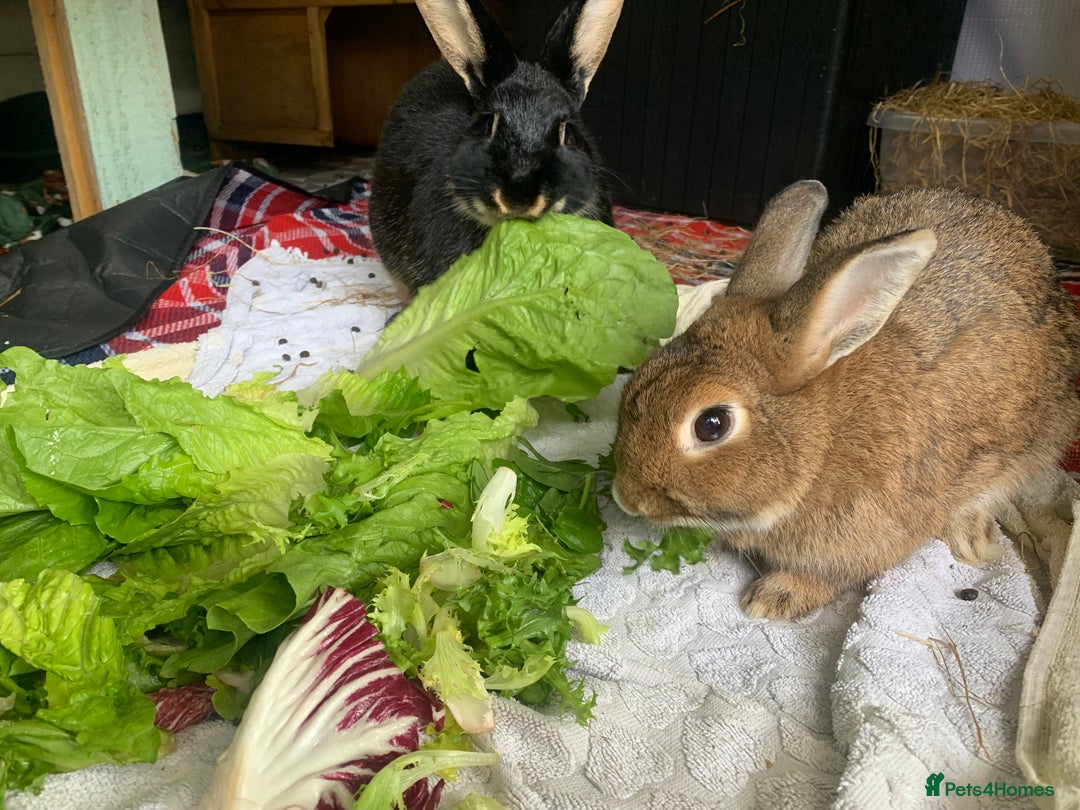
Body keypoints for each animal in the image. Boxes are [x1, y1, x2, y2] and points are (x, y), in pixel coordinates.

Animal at [612, 180, 1080, 621]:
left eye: (712, 425)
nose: (625, 496)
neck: (823, 440)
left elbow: (832, 576)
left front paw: (774, 598)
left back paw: (971, 538)